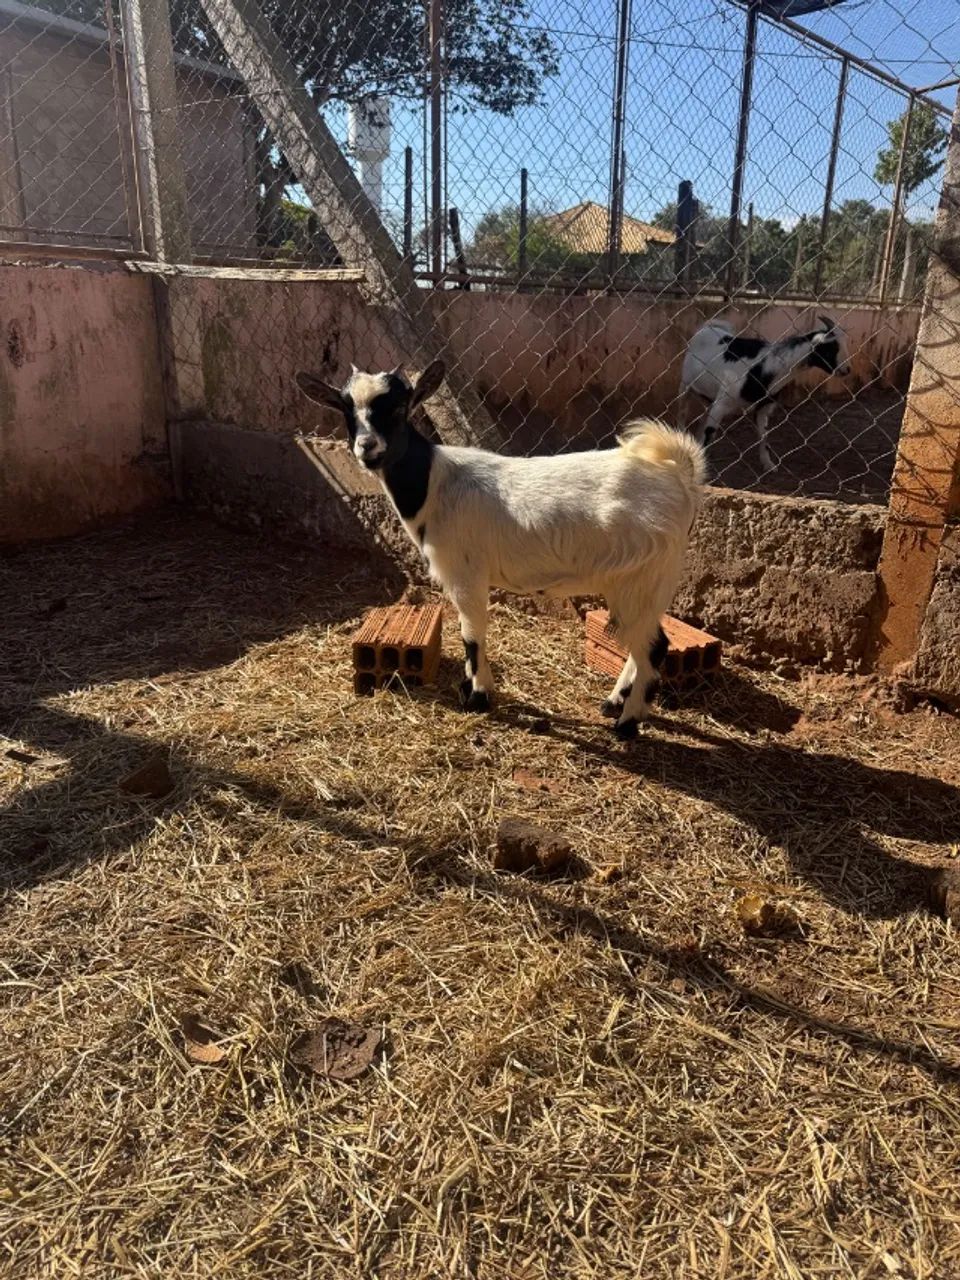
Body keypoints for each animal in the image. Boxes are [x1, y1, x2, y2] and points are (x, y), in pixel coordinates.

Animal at [295, 362, 705, 738]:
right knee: (645, 641)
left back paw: (627, 723)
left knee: (654, 648)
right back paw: (614, 702)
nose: (368, 449)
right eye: (345, 409)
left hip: (641, 579)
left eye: (398, 407)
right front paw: (468, 687)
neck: (434, 484)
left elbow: (472, 633)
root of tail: (678, 475)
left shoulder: (465, 573)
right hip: (647, 583)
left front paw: (478, 696)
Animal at [678, 317, 849, 471]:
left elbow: (764, 436)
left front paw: (769, 464)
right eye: (829, 349)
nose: (847, 370)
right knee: (683, 412)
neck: (764, 369)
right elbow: (710, 434)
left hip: (708, 397)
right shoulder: (722, 403)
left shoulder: (763, 407)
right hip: (686, 385)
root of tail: (708, 328)